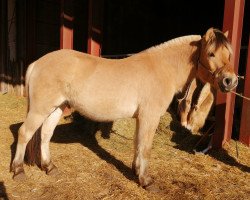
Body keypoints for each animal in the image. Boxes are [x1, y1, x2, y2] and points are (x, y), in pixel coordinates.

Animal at [11, 27, 238, 188]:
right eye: (211, 53)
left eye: (229, 54)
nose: (230, 81)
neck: (162, 68)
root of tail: (37, 63)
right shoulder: (149, 116)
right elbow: (145, 147)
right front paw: (146, 181)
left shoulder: (141, 118)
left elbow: (137, 144)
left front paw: (136, 172)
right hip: (41, 109)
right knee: (24, 133)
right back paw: (18, 171)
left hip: (56, 108)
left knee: (45, 135)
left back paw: (49, 167)